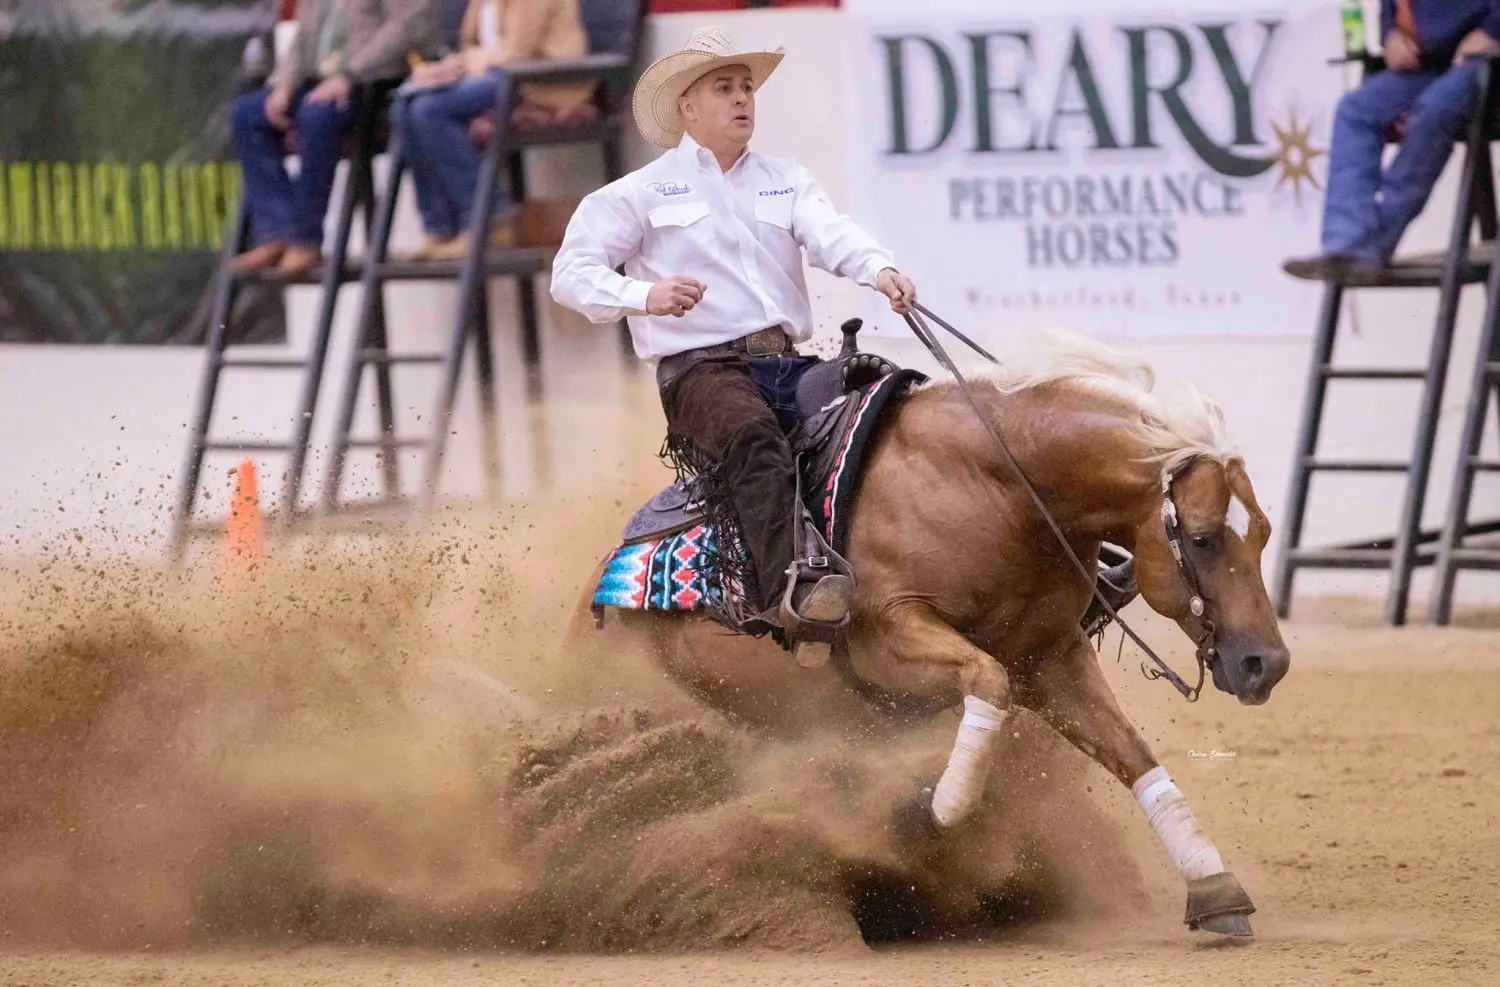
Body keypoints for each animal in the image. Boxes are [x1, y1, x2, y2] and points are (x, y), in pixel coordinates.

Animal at [594, 333, 1290, 936]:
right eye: (1201, 539)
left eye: (1263, 533)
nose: (1267, 663)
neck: (999, 489)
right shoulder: (888, 640)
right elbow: (987, 682)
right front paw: (926, 815)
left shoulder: (1052, 657)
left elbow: (1134, 755)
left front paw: (1214, 887)